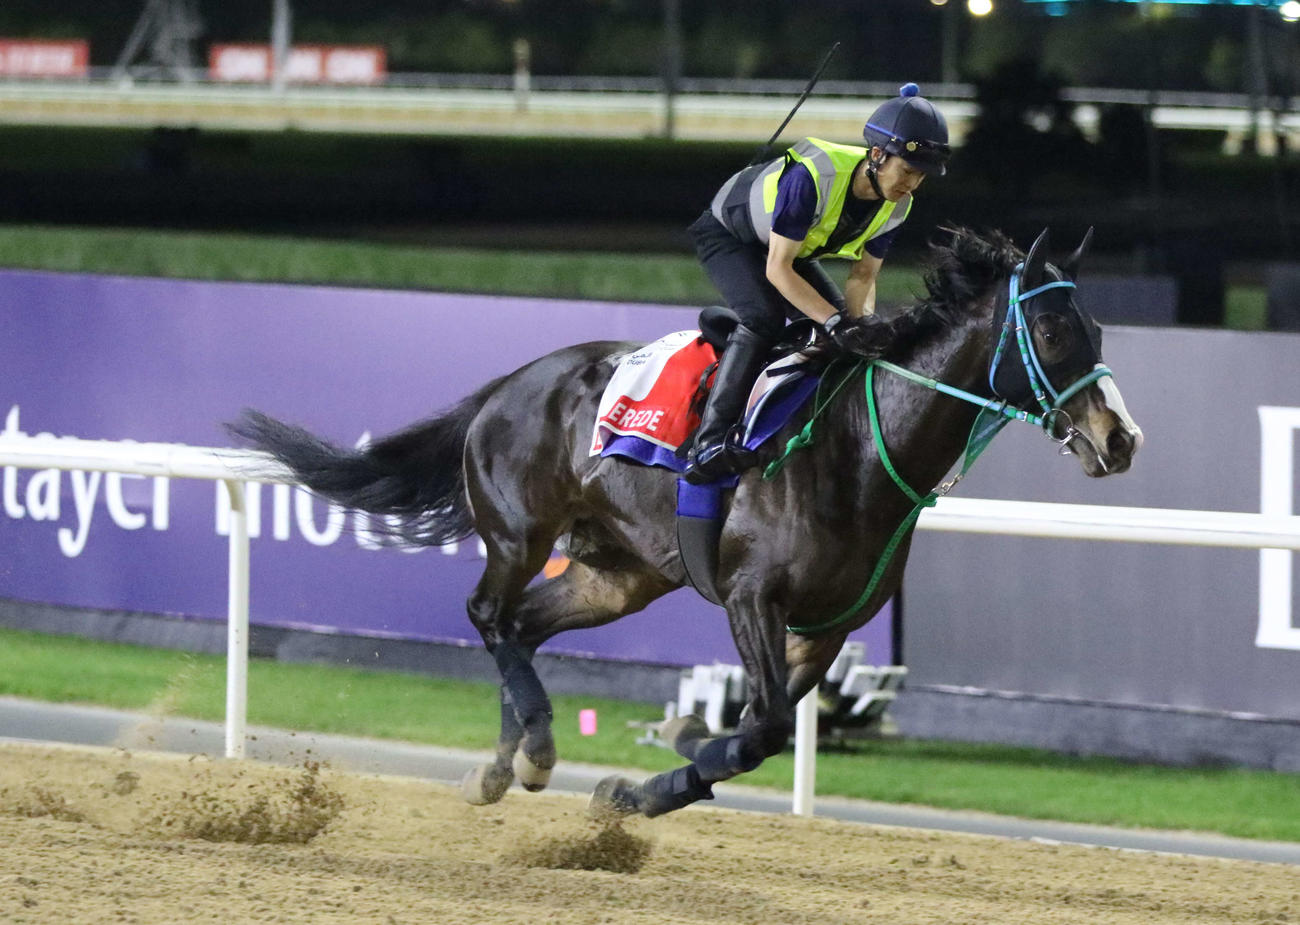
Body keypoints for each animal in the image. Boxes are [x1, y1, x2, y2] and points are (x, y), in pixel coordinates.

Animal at [229, 226, 1142, 820]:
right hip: (520, 533)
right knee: (488, 613)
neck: (856, 449)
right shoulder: (751, 596)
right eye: (1051, 328)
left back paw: (503, 766)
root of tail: (509, 383)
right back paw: (536, 751)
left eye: (1098, 327)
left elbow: (759, 733)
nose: (1120, 438)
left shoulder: (827, 627)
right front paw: (668, 751)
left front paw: (643, 784)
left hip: (617, 575)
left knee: (520, 625)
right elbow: (760, 724)